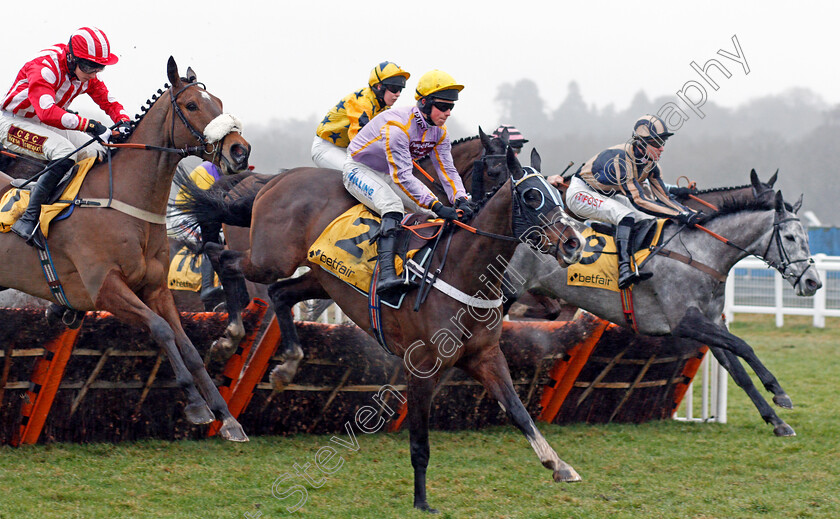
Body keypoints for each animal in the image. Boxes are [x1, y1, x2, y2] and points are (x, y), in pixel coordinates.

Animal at [0, 58, 249, 442]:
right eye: (192, 105)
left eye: (219, 103)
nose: (240, 151)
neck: (125, 202)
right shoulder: (105, 289)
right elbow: (160, 330)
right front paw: (196, 405)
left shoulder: (157, 289)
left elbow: (189, 347)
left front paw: (227, 417)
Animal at [177, 148, 584, 512]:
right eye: (531, 196)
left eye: (556, 192)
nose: (573, 243)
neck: (459, 269)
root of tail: (278, 178)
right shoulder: (422, 365)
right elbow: (420, 440)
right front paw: (421, 501)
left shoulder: (485, 356)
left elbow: (518, 411)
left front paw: (559, 464)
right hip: (270, 258)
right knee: (222, 255)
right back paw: (229, 333)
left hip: (320, 277)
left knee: (279, 292)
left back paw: (287, 364)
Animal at [506, 185, 820, 436]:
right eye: (790, 237)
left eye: (806, 237)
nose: (813, 282)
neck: (702, 255)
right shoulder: (685, 322)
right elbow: (744, 346)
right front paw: (779, 393)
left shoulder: (711, 323)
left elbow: (737, 370)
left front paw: (776, 421)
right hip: (507, 290)